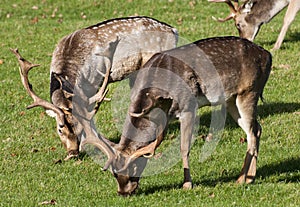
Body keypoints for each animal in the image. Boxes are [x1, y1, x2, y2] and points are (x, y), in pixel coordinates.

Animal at [79, 36, 272, 196]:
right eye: (114, 173)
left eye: (133, 167)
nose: (123, 192)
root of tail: (268, 55)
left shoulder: (188, 107)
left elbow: (184, 148)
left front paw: (187, 184)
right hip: (231, 100)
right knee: (257, 129)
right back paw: (248, 176)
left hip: (249, 91)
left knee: (252, 132)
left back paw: (243, 179)